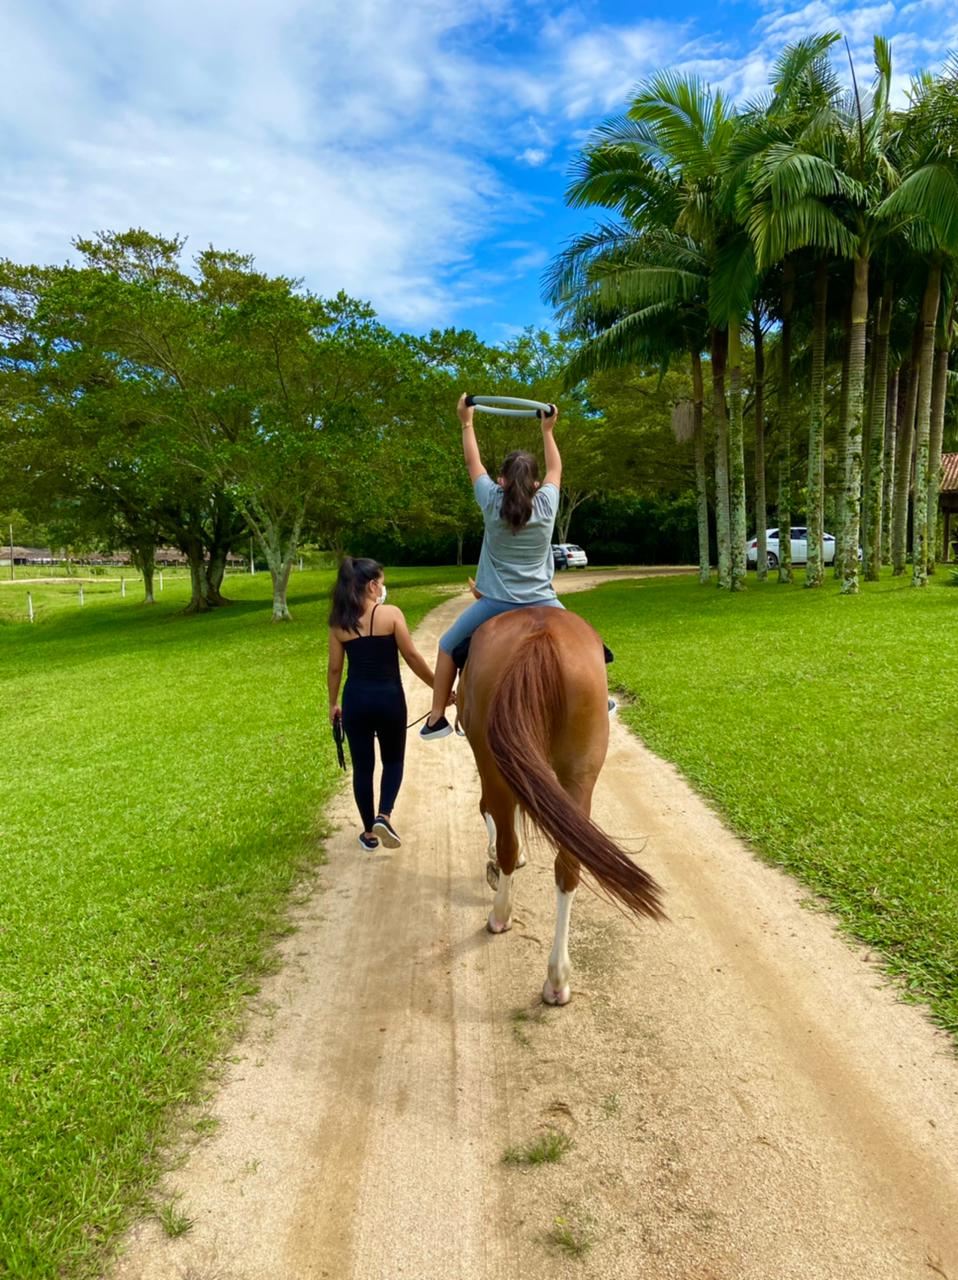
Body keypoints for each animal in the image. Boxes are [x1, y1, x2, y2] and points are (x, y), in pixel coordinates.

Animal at [453, 604, 660, 1003]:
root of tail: (540, 637)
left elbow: (490, 812)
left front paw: (498, 860)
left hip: (493, 762)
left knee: (504, 835)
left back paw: (500, 914)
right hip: (579, 772)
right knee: (568, 865)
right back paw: (558, 977)